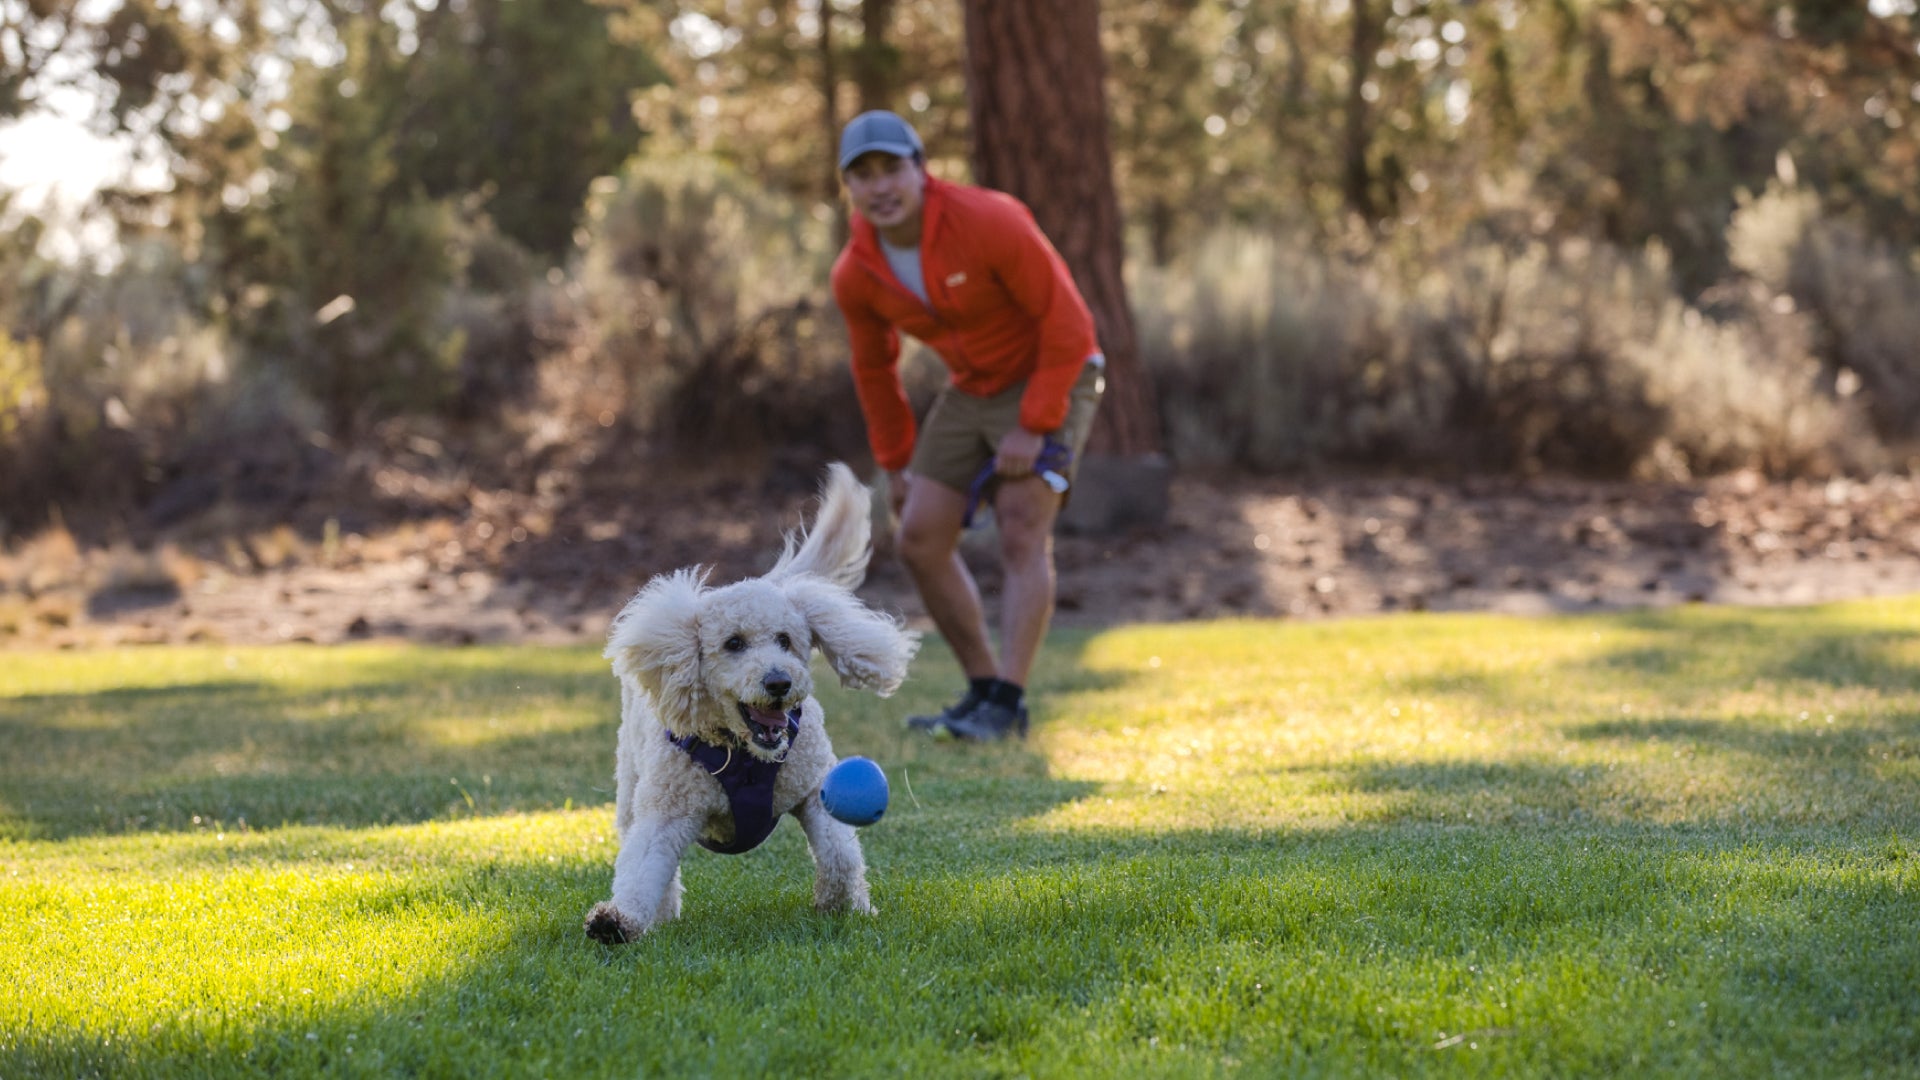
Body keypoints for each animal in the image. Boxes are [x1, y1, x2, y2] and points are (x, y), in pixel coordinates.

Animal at [579, 465, 917, 941]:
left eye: (786, 640)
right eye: (733, 643)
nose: (778, 681)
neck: (744, 755)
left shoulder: (815, 790)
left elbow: (839, 854)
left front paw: (846, 905)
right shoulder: (667, 810)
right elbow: (641, 869)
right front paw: (617, 921)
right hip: (630, 779)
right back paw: (660, 914)